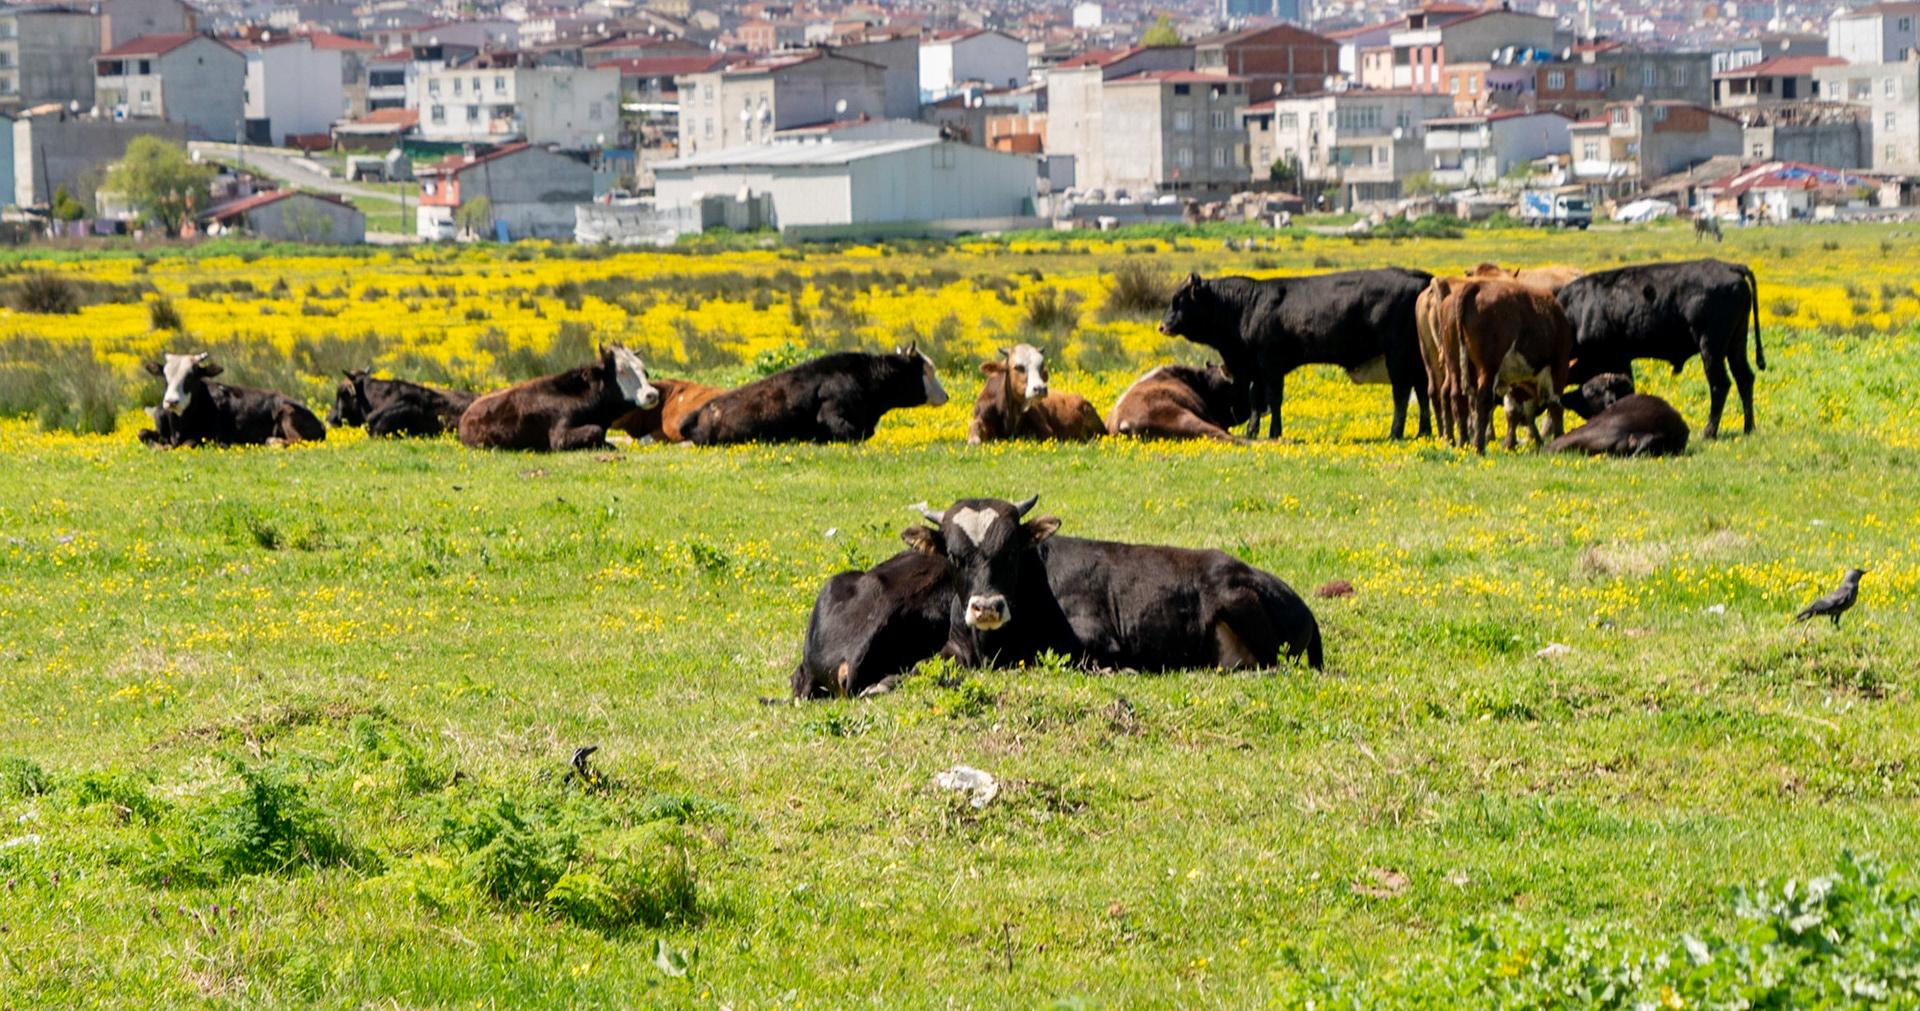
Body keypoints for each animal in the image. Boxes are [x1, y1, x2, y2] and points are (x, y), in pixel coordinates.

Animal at [139, 352, 326, 448]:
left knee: (296, 439)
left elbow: (188, 443)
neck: (177, 428)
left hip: (287, 411)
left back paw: (273, 441)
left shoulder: (215, 437)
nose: (171, 401)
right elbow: (142, 433)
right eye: (165, 377)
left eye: (190, 377)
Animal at [1159, 268, 1433, 440]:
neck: (1245, 306)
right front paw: (1252, 431)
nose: (1161, 326)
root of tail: (1421, 278)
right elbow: (1256, 399)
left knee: (1401, 392)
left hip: (1397, 354)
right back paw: (1424, 432)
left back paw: (1396, 432)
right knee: (1422, 391)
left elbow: (1274, 398)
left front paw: (1274, 432)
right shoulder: (1255, 368)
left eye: (1179, 301)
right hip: (1416, 358)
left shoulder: (1270, 364)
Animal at [1444, 277, 1573, 453]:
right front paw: (1559, 438)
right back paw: (1478, 447)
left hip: (1454, 362)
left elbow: (1513, 411)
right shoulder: (1559, 366)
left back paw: (1463, 444)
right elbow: (1555, 406)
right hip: (1489, 367)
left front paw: (1510, 444)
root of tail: (1476, 284)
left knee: (1458, 398)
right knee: (1483, 399)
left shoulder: (1515, 380)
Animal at [1553, 259, 1764, 438]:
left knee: (1720, 384)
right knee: (1744, 378)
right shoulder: (1621, 361)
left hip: (1711, 347)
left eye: (1590, 391)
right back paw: (1749, 428)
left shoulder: (1601, 360)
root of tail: (1731, 267)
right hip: (1736, 343)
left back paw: (1709, 432)